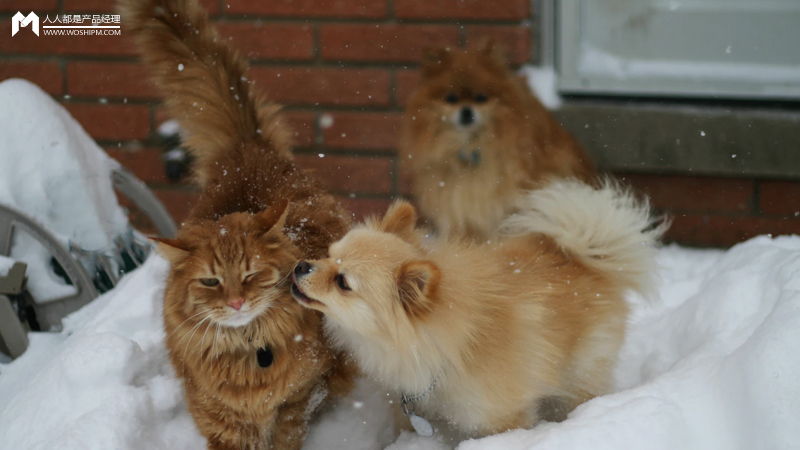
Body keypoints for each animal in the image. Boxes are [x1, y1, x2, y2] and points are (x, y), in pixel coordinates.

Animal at [121, 0, 354, 448]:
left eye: (250, 275)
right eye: (211, 281)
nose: (235, 304)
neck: (250, 353)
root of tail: (247, 148)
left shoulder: (300, 397)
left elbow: (287, 433)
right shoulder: (219, 416)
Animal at [290, 181, 664, 438]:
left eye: (342, 282)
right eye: (328, 254)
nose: (300, 266)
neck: (442, 346)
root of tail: (582, 256)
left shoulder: (502, 418)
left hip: (581, 376)